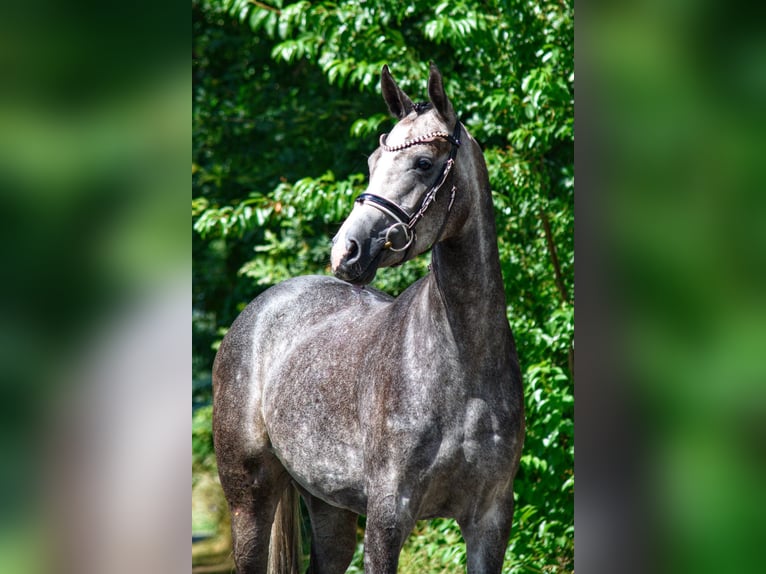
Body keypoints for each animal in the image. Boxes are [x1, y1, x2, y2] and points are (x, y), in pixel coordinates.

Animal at [216, 64, 528, 574]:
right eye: (372, 159)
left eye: (423, 163)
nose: (346, 251)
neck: (462, 361)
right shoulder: (387, 515)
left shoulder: (491, 519)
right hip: (250, 499)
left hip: (329, 506)